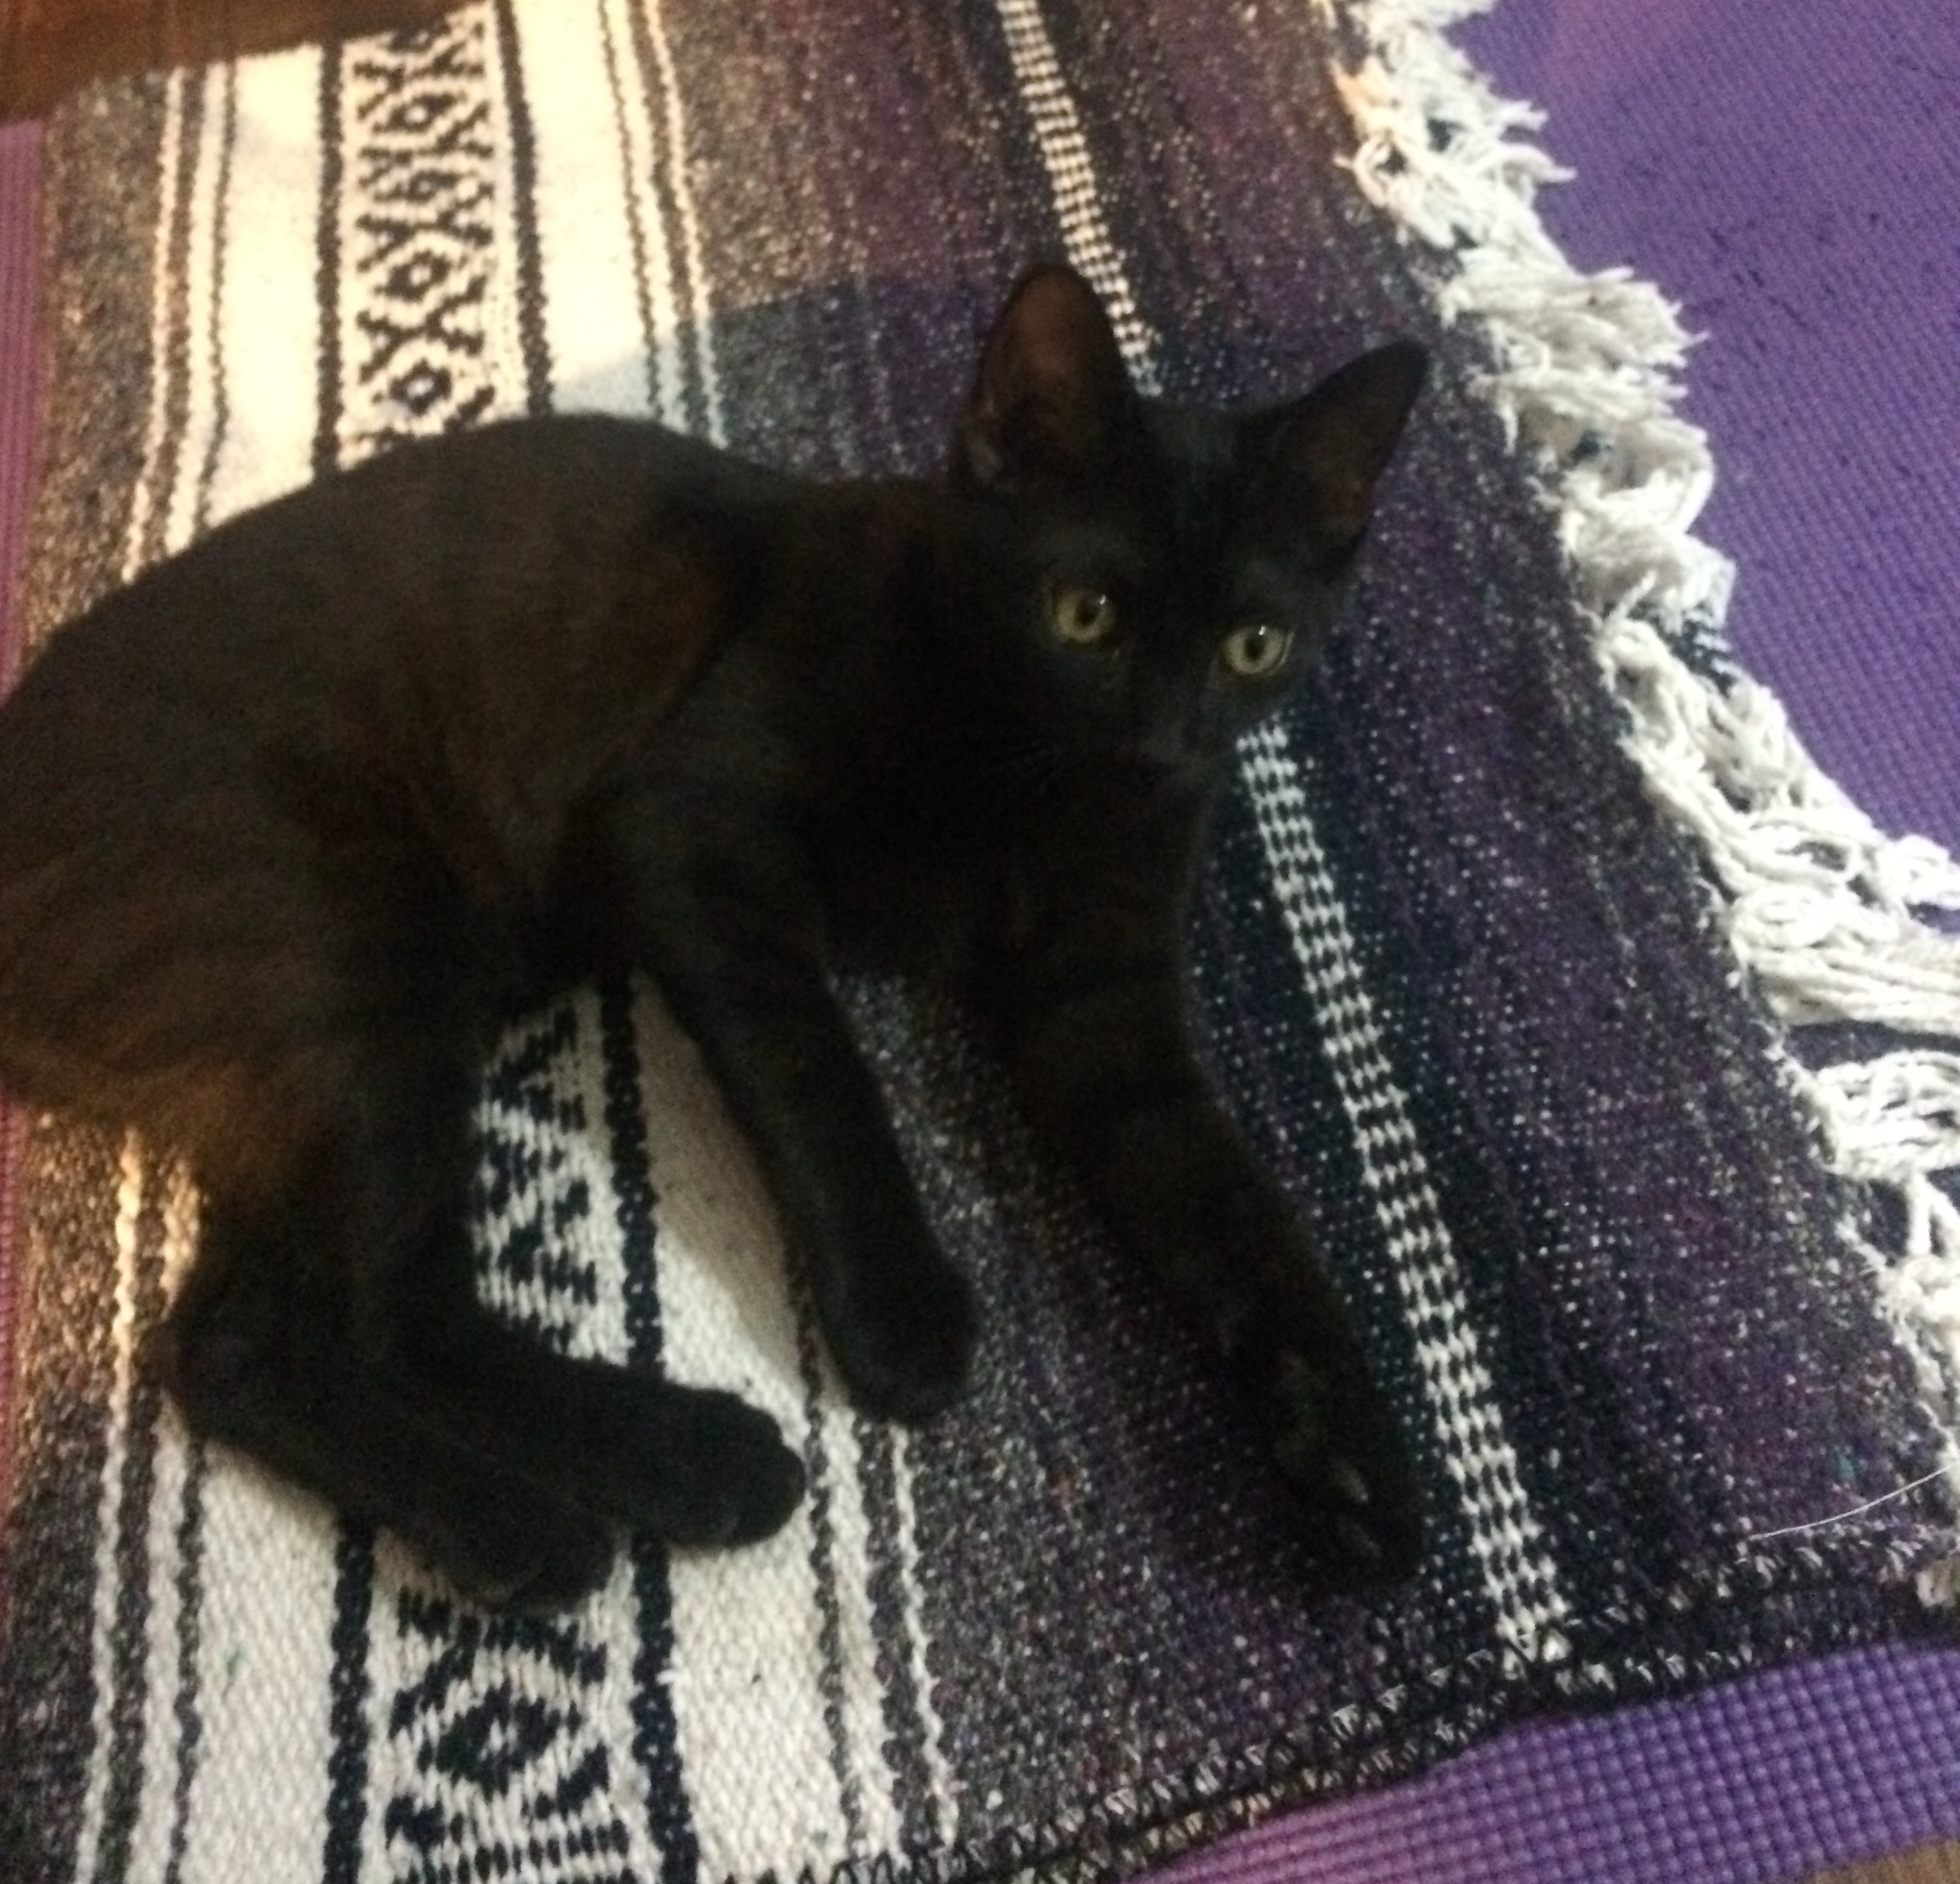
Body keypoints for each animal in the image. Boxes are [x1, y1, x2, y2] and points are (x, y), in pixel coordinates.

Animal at [0, 264, 1427, 1606]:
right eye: (1086, 614)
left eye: (1255, 644)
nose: (1158, 747)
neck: (1024, 774)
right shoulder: (688, 834)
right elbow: (825, 1082)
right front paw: (902, 1313)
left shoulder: (1102, 1003)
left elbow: (1232, 1205)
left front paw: (1360, 1454)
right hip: (360, 965)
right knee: (404, 1316)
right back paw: (684, 1468)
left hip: (294, 1063)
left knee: (236, 1343)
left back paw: (508, 1526)